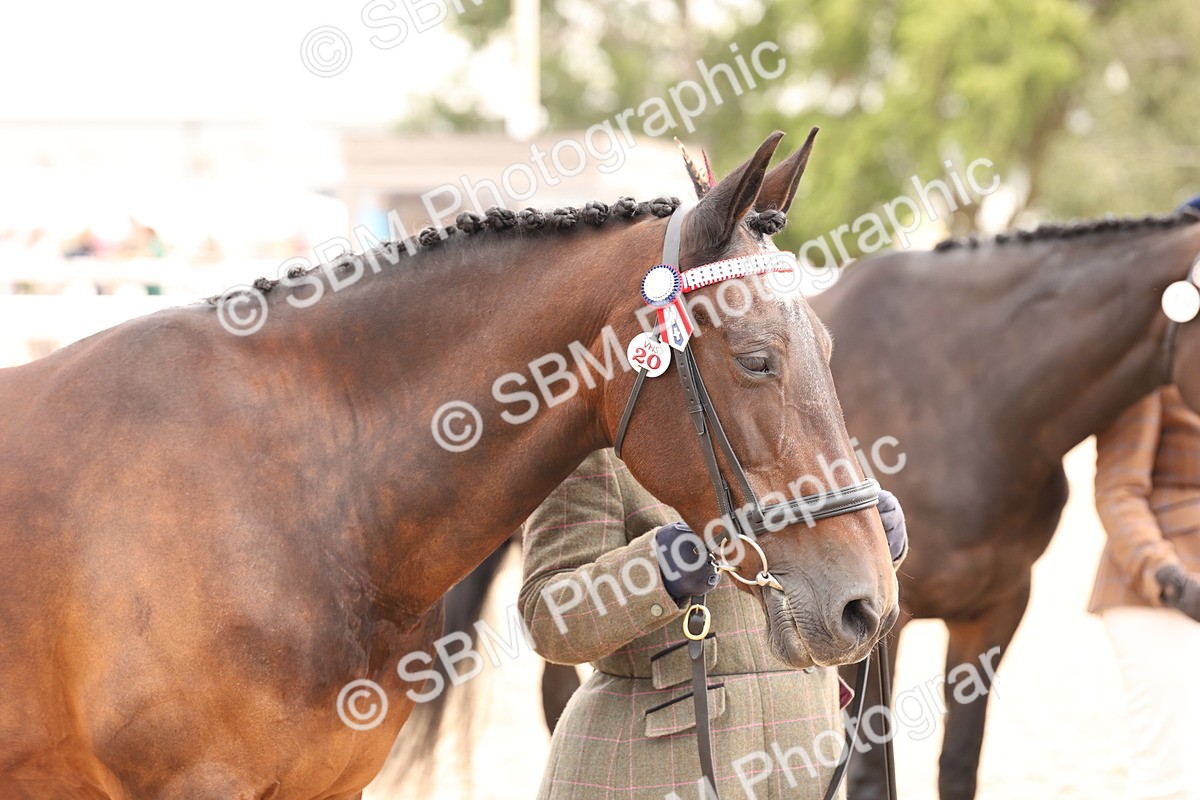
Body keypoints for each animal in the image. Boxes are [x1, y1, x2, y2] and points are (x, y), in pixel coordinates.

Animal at [416, 210, 1200, 800]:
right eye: (756, 361)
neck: (971, 392)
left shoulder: (994, 610)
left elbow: (958, 768)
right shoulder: (881, 625)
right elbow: (873, 777)